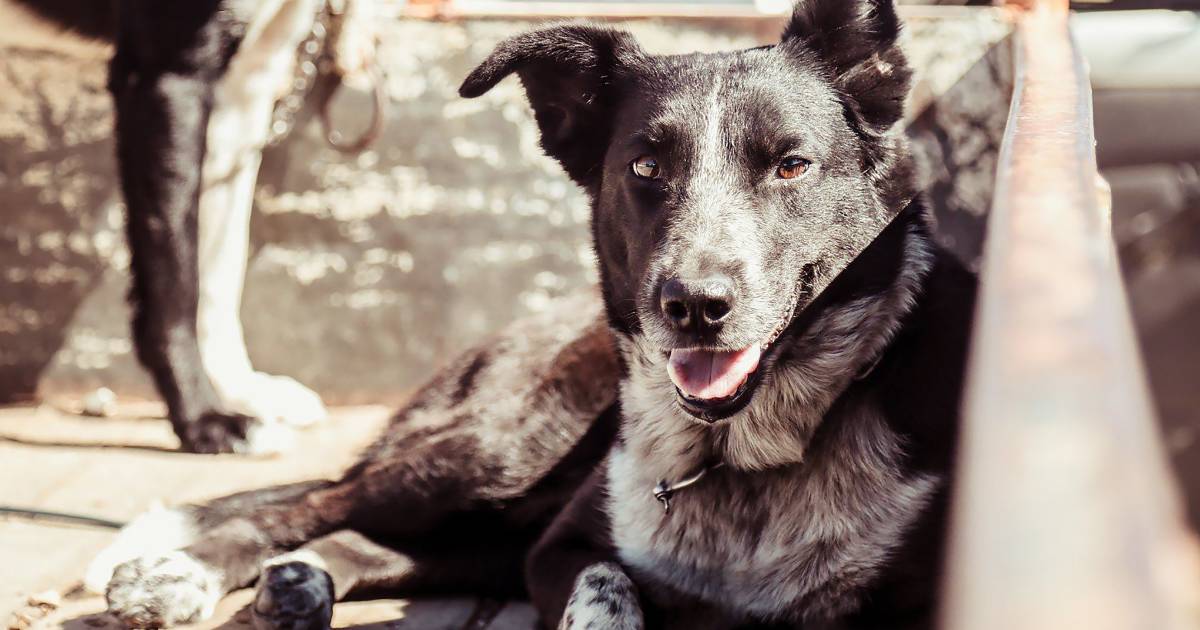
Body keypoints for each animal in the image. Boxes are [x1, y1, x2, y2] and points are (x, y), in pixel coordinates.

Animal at [91, 0, 974, 624]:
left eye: (791, 165)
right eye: (644, 166)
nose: (692, 306)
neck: (743, 461)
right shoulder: (562, 548)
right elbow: (608, 590)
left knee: (355, 534)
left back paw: (300, 583)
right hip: (501, 451)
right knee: (313, 501)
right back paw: (176, 574)